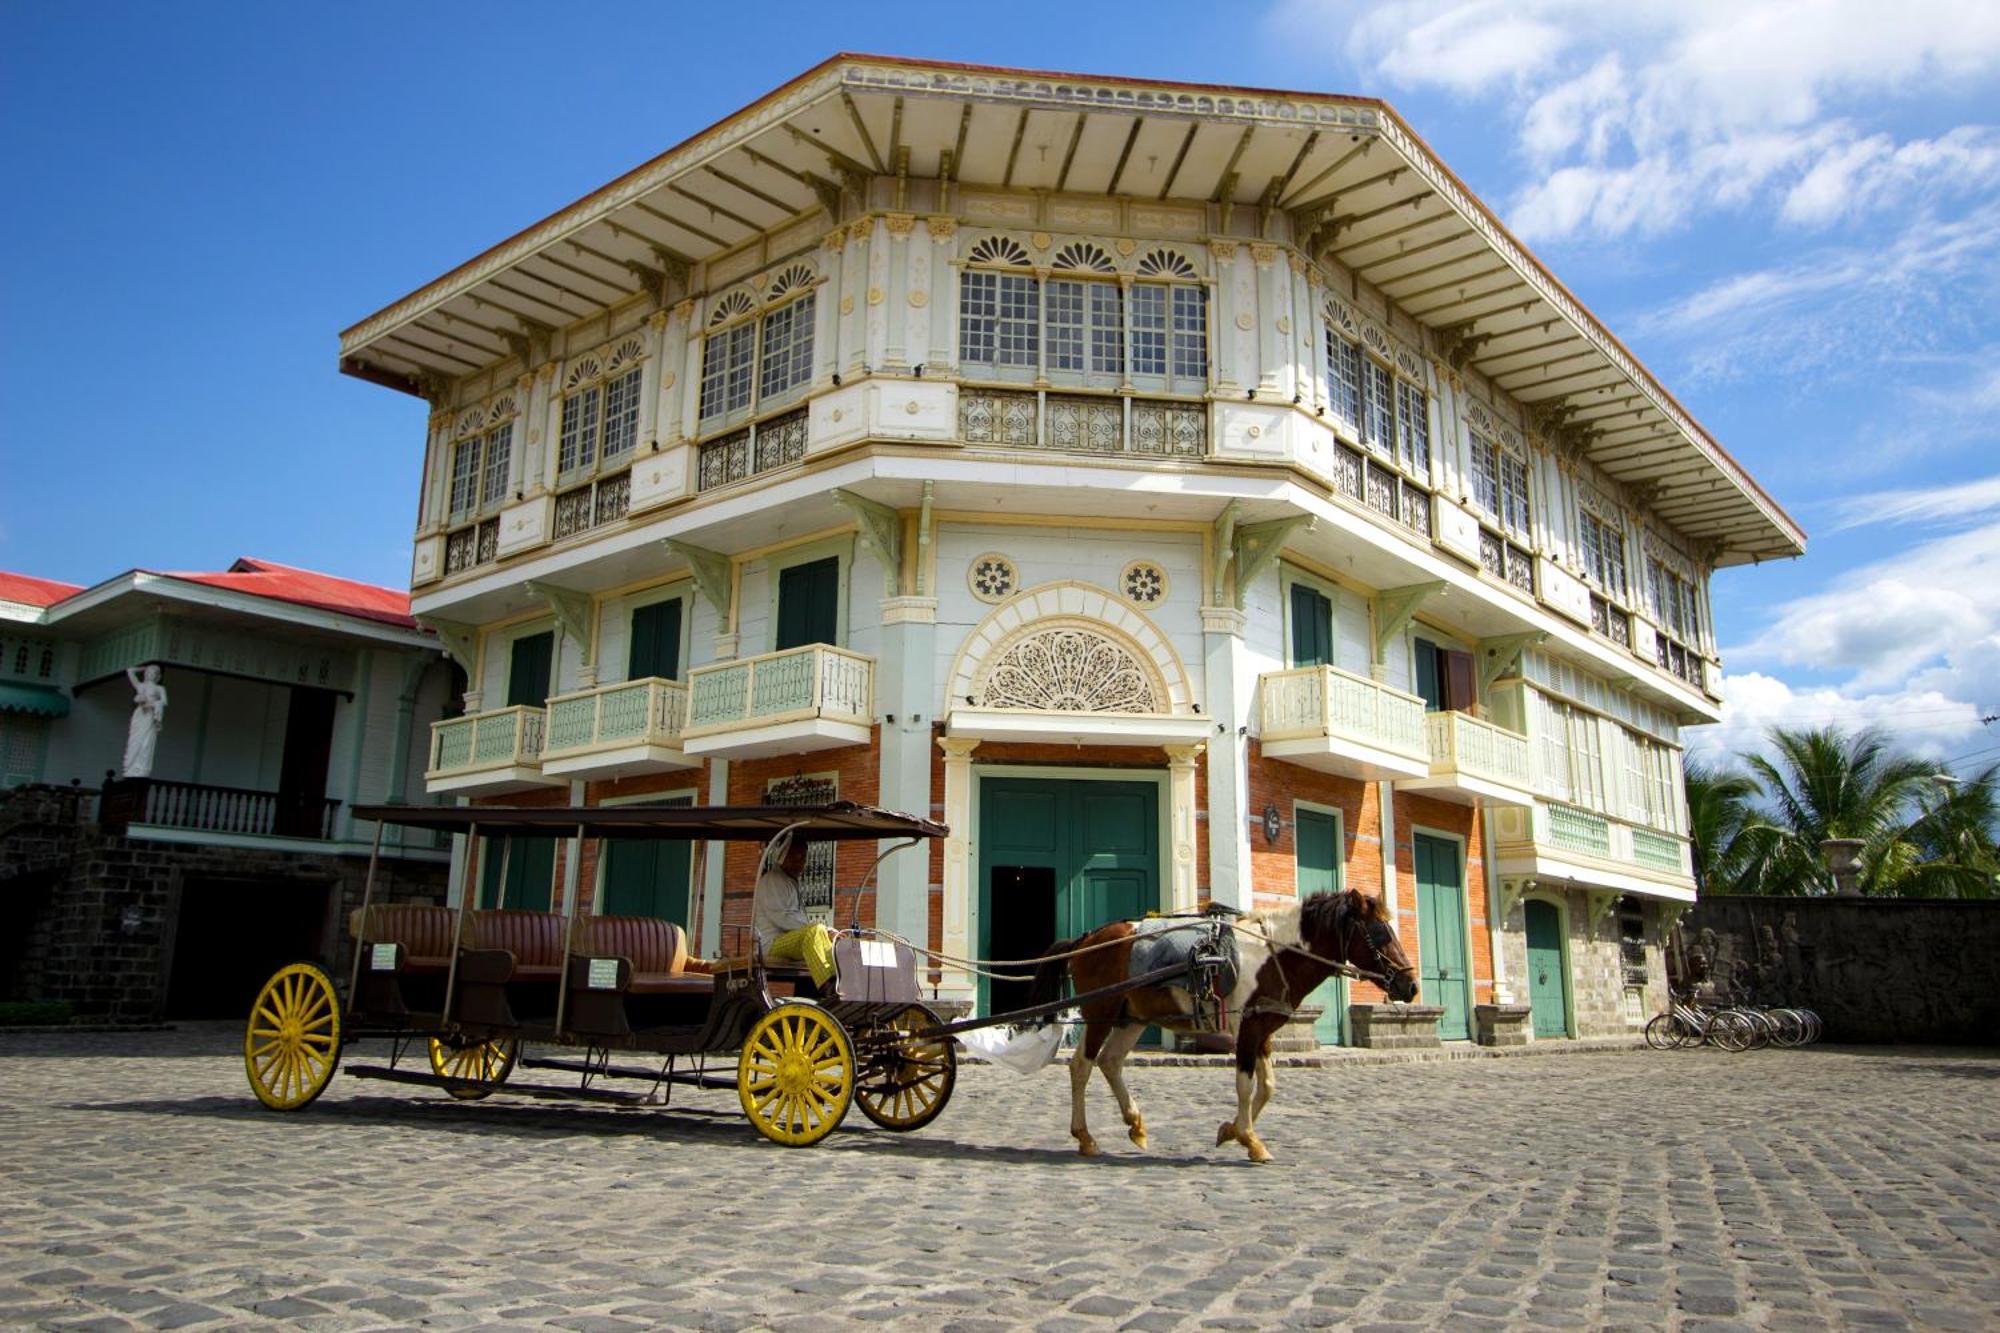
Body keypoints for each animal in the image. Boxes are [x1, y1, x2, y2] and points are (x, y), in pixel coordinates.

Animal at [1032, 888, 1424, 1160]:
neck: (1273, 954)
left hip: (1132, 1018)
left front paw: (1230, 1131)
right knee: (1082, 1066)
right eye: (1381, 934)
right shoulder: (1247, 1029)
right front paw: (1251, 1141)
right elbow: (1245, 1086)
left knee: (1110, 1061)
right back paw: (1086, 1137)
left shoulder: (1262, 1029)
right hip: (1101, 1010)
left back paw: (1135, 1124)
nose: (1410, 985)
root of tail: (1086, 939)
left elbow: (1267, 1087)